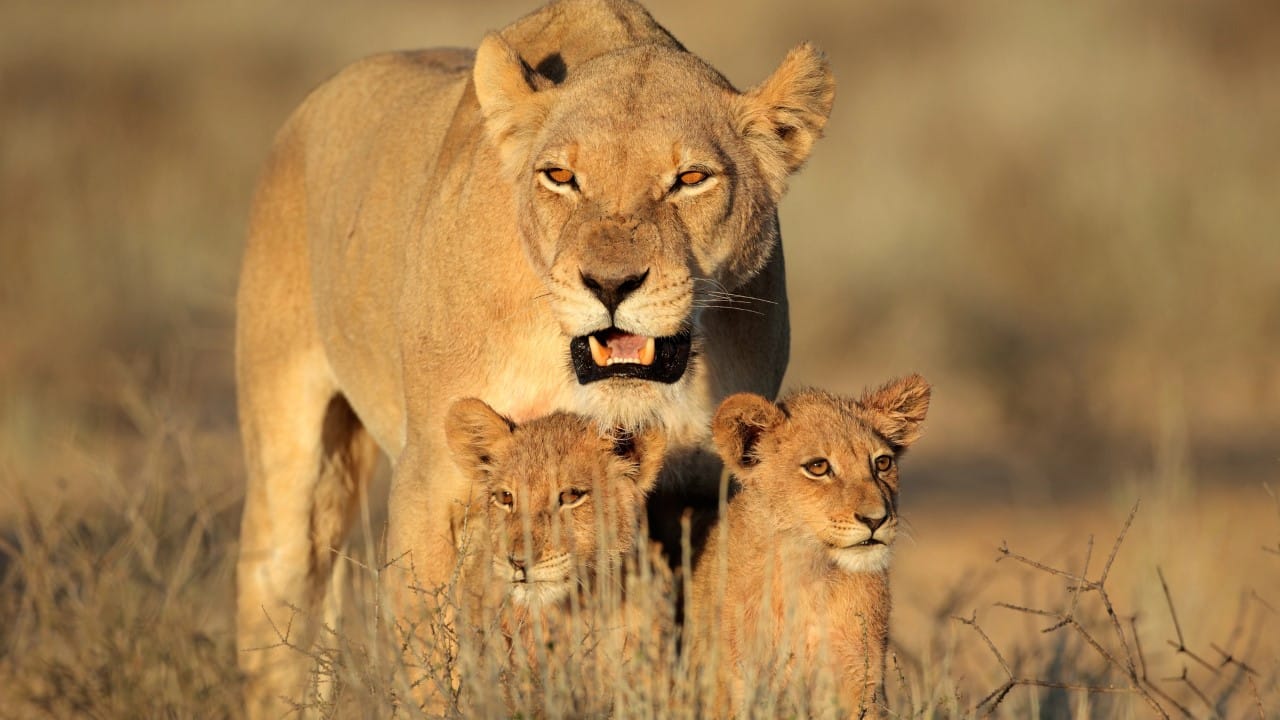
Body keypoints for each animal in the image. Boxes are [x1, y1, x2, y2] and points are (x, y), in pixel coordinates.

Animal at [234, 0, 834, 713]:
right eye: (561, 177)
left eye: (691, 179)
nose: (610, 285)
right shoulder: (431, 479)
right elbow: (432, 659)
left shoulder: (697, 496)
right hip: (292, 459)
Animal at [686, 375, 931, 719]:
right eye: (818, 467)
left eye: (883, 463)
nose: (877, 518)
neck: (808, 575)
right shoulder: (737, 683)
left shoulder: (860, 681)